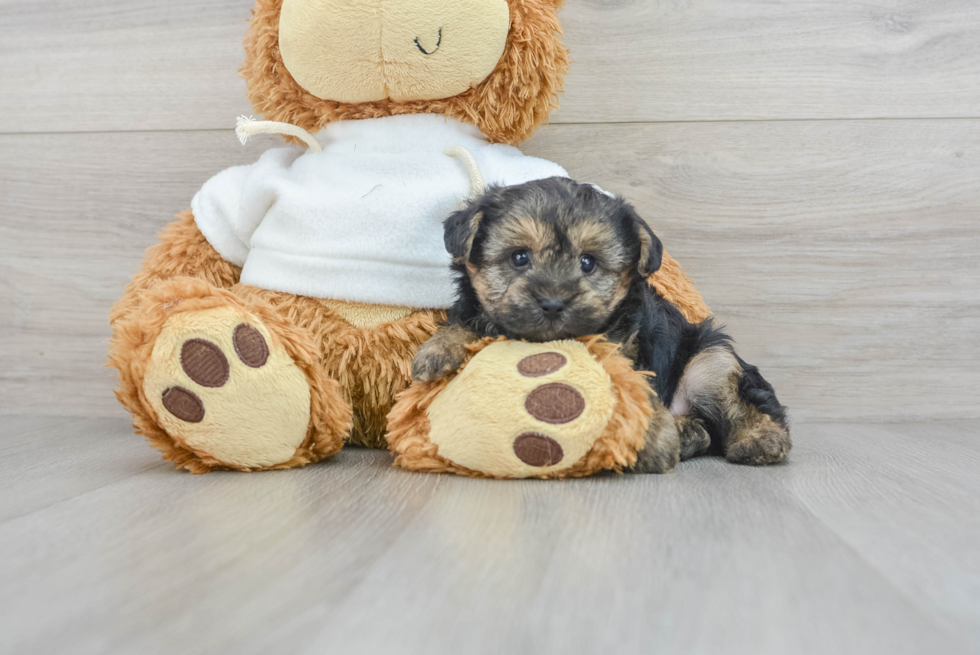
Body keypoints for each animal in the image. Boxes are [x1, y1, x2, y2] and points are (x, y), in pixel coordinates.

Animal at [412, 177, 788, 474]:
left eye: (588, 263)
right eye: (519, 257)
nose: (553, 302)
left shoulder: (627, 351)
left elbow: (635, 393)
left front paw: (650, 438)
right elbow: (465, 320)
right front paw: (437, 350)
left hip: (706, 359)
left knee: (738, 396)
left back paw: (760, 438)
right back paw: (689, 433)